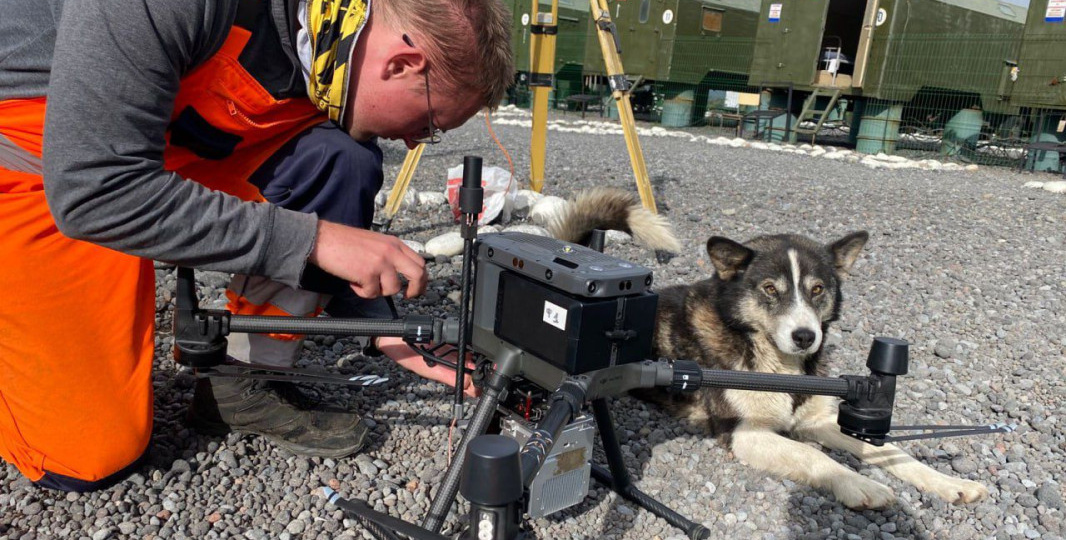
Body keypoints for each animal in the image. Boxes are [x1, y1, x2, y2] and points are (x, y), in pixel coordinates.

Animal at [558, 189, 989, 511]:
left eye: (818, 289)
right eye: (769, 289)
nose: (805, 336)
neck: (777, 362)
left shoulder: (819, 421)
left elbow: (889, 451)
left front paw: (947, 481)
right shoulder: (746, 434)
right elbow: (815, 456)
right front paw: (859, 485)